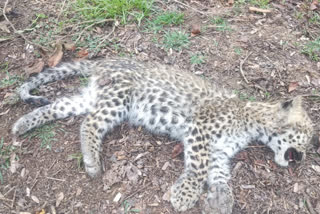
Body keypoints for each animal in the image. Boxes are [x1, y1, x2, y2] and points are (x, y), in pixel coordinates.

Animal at [11, 57, 312, 213]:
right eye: (307, 135)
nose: (305, 155)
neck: (255, 121)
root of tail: (104, 63)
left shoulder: (218, 151)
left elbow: (220, 175)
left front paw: (221, 200)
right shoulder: (200, 130)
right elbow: (198, 168)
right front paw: (184, 195)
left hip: (92, 97)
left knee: (59, 105)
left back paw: (22, 124)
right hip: (118, 100)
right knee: (89, 124)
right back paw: (92, 162)